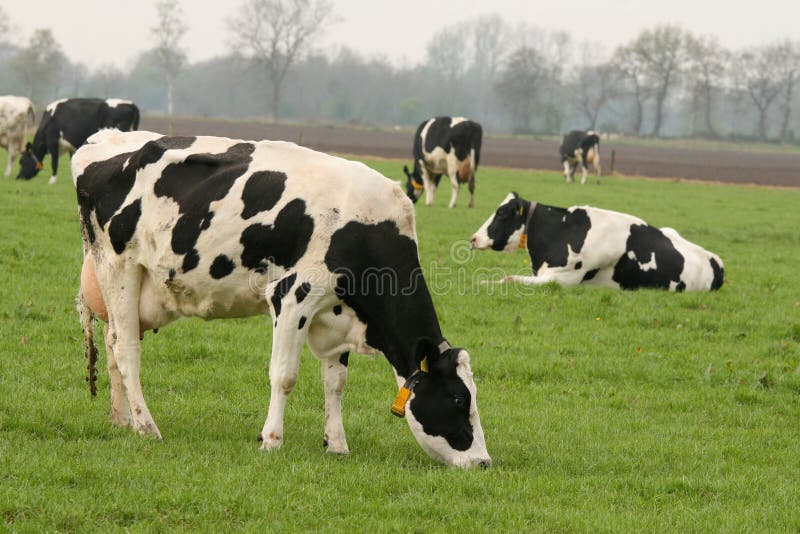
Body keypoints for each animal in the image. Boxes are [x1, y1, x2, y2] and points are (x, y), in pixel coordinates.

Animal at [75, 130, 490, 468]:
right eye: (458, 400)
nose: (483, 462)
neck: (365, 228)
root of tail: (100, 142)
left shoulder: (336, 313)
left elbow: (335, 381)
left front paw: (337, 444)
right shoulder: (293, 295)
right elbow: (285, 375)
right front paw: (271, 440)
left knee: (112, 344)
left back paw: (122, 420)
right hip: (119, 267)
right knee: (125, 348)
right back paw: (147, 427)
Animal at [468, 193, 724, 294]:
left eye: (501, 213)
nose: (474, 238)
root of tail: (716, 261)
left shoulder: (561, 279)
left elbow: (509, 278)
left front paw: (482, 283)